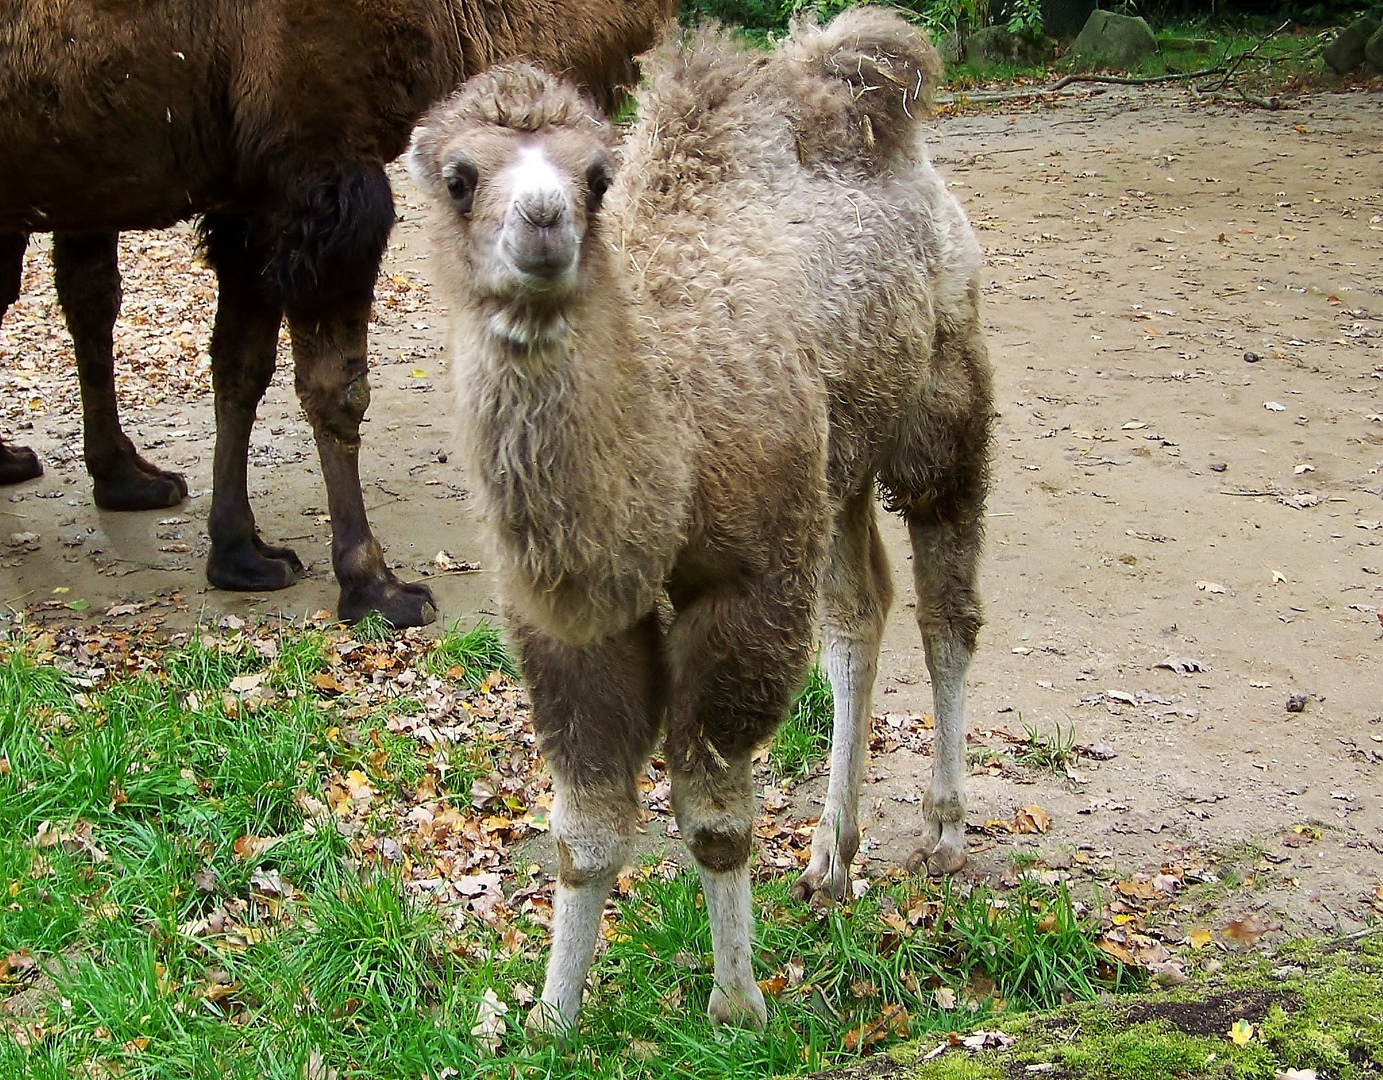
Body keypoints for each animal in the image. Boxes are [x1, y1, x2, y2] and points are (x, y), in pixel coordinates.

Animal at [0, 0, 669, 622]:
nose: (543, 230)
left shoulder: (252, 201)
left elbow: (240, 369)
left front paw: (241, 554)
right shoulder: (322, 175)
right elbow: (336, 390)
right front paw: (374, 584)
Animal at [406, 10, 995, 1034]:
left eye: (596, 177)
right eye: (459, 176)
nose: (543, 221)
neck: (664, 436)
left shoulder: (746, 580)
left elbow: (715, 814)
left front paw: (737, 1005)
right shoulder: (575, 625)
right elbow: (588, 829)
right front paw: (552, 1016)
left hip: (940, 395)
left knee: (946, 606)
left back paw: (945, 831)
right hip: (834, 462)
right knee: (857, 614)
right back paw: (830, 854)